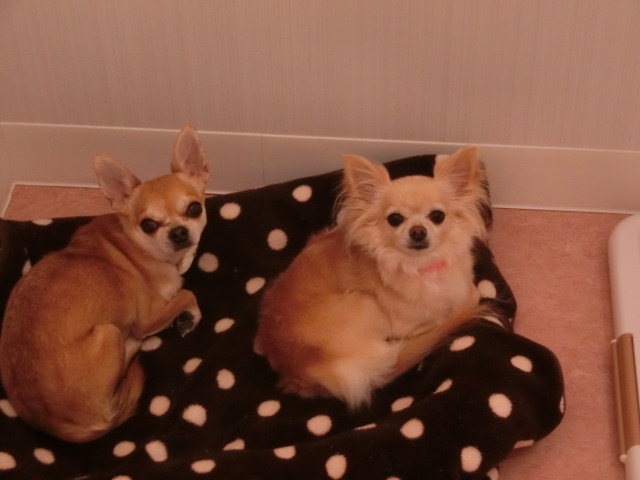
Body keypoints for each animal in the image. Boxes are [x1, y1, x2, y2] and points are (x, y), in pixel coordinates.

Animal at [0, 124, 209, 442]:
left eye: (194, 209)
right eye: (148, 225)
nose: (179, 232)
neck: (136, 246)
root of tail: (63, 427)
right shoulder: (148, 316)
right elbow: (187, 293)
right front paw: (189, 316)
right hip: (109, 333)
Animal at [255, 147, 489, 409]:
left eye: (437, 216)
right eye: (395, 219)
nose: (417, 231)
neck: (422, 266)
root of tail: (303, 371)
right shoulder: (405, 326)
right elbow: (446, 313)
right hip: (367, 304)